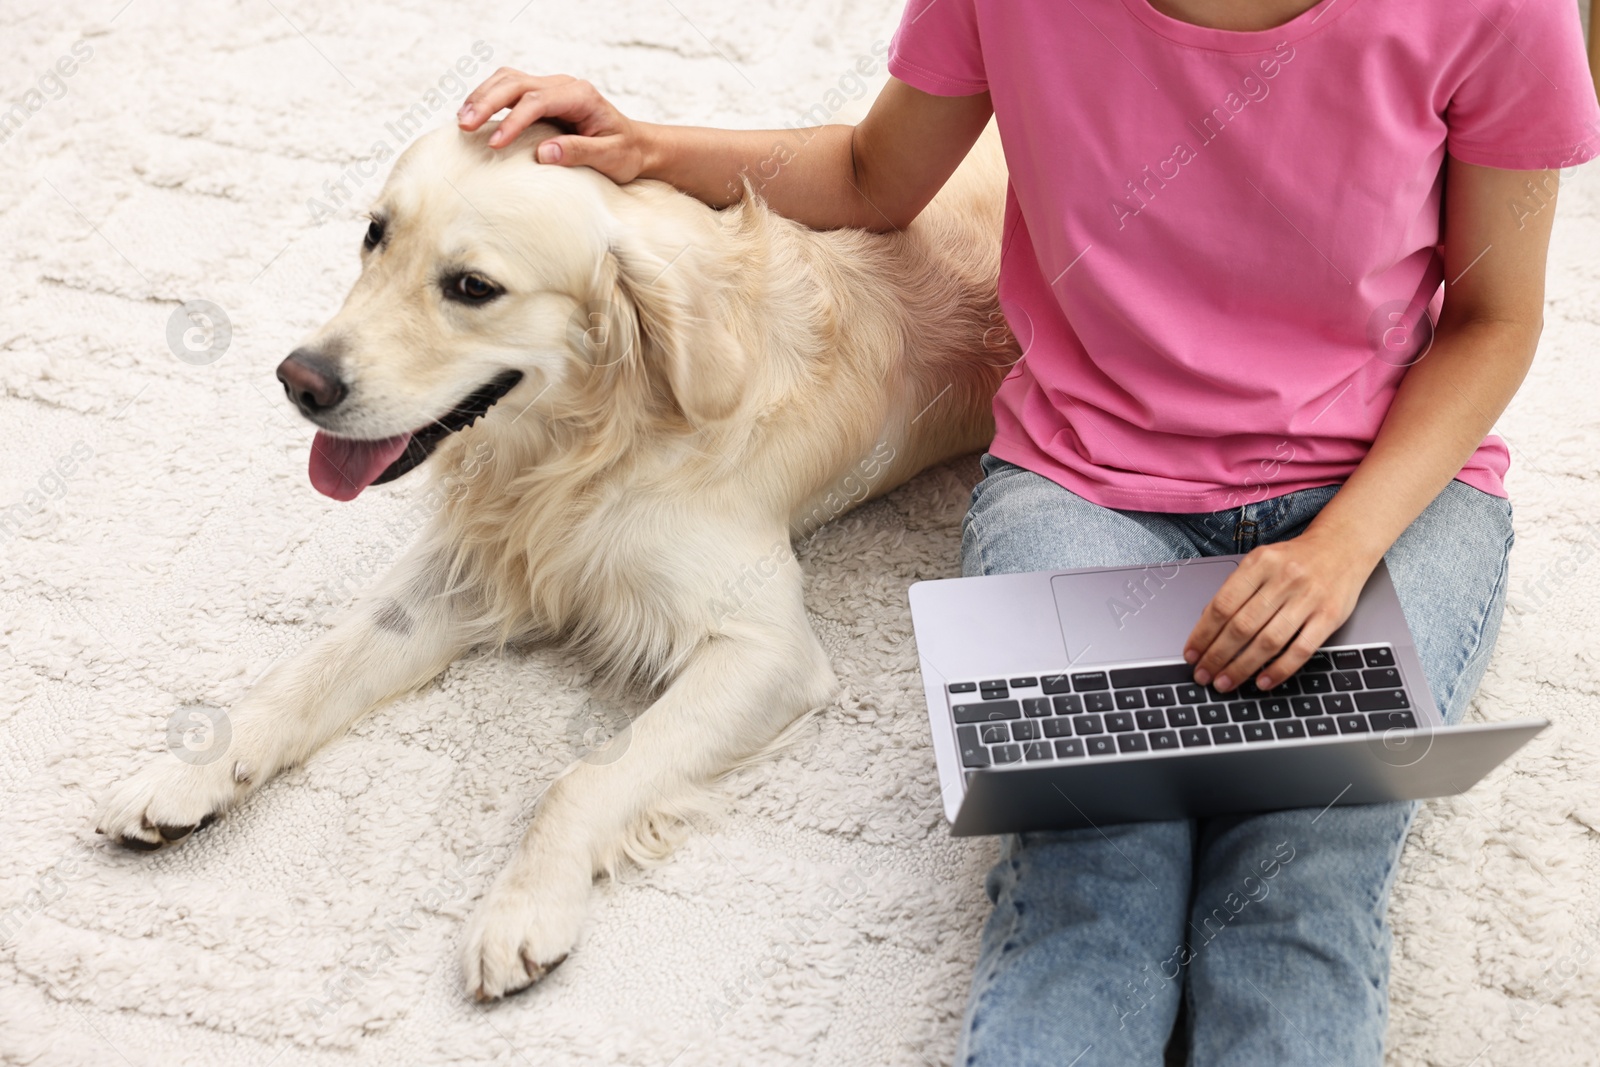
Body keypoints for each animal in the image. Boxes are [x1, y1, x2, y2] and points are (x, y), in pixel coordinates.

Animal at [93, 119, 1004, 1004]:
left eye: (473, 287)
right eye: (375, 234)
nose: (300, 379)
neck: (583, 440)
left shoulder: (765, 646)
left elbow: (582, 778)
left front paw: (523, 909)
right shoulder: (467, 564)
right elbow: (307, 670)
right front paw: (189, 768)